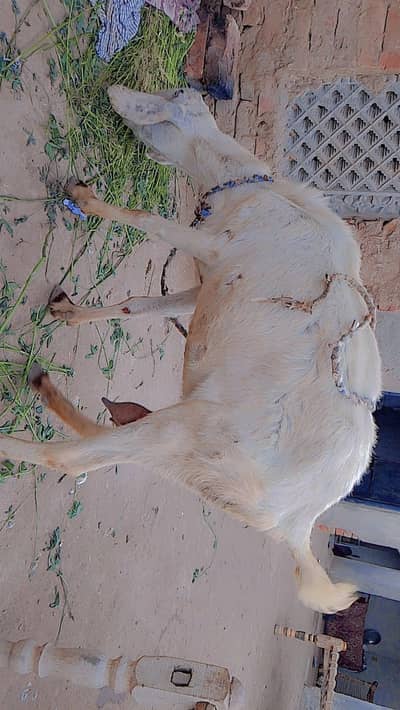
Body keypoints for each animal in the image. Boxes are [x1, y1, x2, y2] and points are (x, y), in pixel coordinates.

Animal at [0, 87, 381, 613]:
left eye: (166, 105)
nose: (115, 94)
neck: (260, 191)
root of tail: (299, 522)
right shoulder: (209, 279)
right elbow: (138, 305)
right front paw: (69, 313)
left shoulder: (216, 249)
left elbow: (147, 220)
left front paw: (84, 198)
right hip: (191, 458)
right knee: (103, 443)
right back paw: (46, 386)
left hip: (188, 434)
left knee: (72, 459)